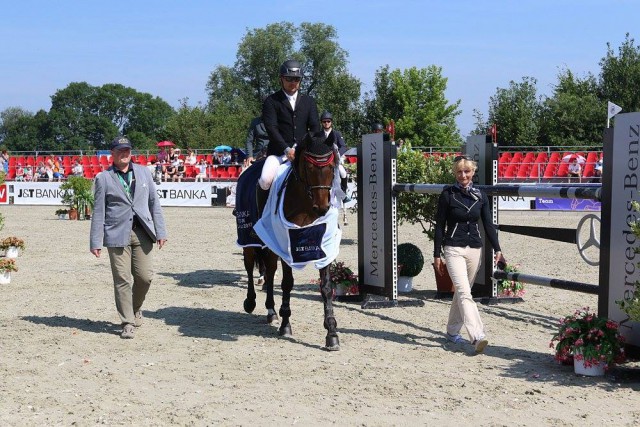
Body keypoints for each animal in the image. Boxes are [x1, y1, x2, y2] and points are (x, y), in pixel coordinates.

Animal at [245, 133, 342, 352]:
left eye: (332, 168)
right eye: (309, 167)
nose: (322, 208)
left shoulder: (324, 245)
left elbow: (326, 287)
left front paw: (332, 333)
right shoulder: (286, 243)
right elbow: (287, 282)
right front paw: (286, 324)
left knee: (269, 270)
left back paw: (271, 311)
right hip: (251, 239)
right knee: (250, 265)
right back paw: (251, 302)